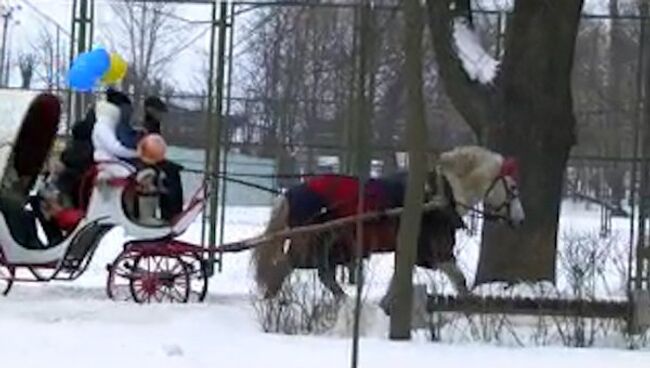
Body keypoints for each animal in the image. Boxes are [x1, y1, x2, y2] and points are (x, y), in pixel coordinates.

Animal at [251, 145, 524, 306]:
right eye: (512, 187)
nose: (521, 219)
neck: (439, 193)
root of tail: (290, 193)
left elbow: (403, 279)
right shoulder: (435, 251)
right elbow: (459, 279)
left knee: (322, 274)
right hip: (311, 241)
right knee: (287, 268)